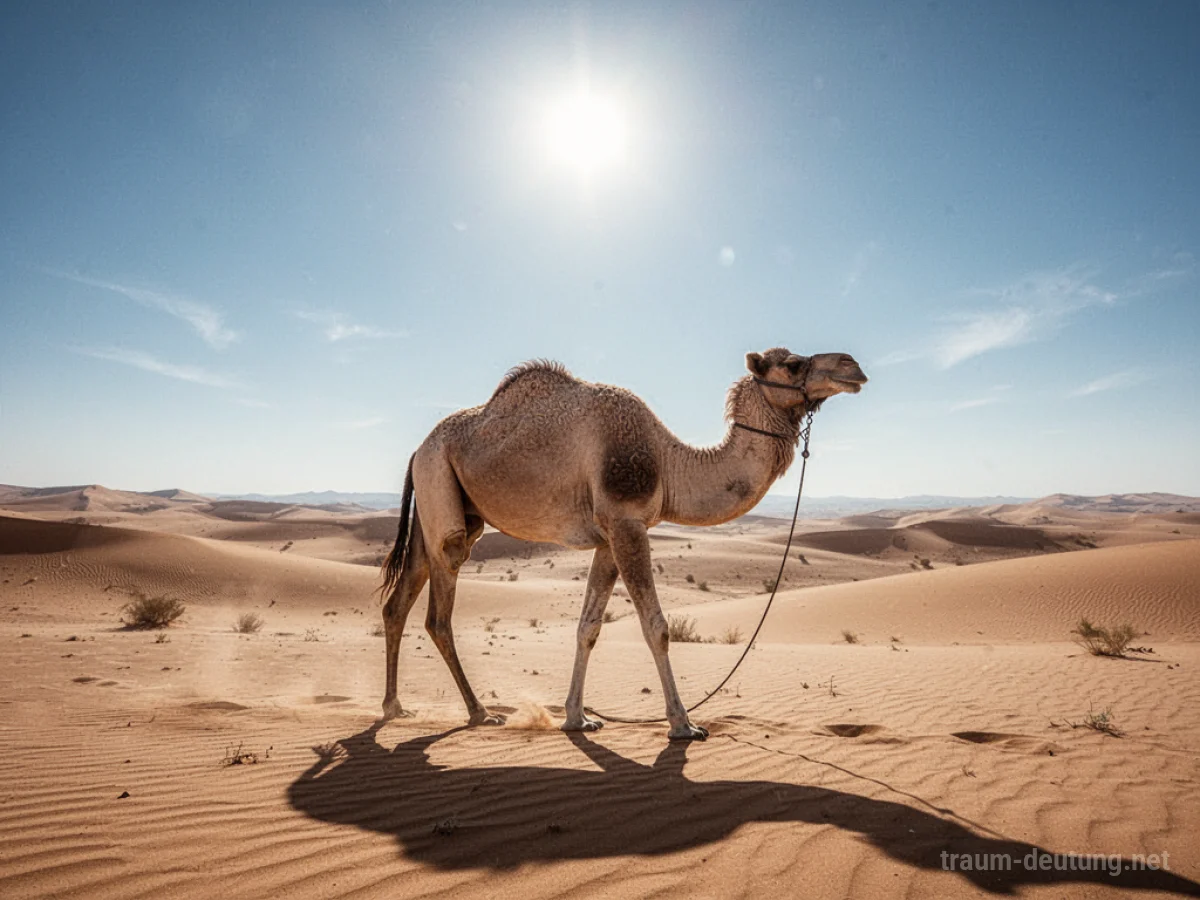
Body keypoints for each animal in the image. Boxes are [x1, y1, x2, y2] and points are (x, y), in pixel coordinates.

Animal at [379, 347, 867, 741]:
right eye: (794, 364)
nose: (852, 365)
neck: (670, 463)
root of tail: (418, 449)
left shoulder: (608, 537)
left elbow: (588, 627)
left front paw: (577, 719)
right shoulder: (627, 522)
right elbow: (657, 628)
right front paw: (683, 724)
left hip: (441, 504)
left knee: (399, 601)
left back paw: (394, 707)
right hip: (441, 491)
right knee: (440, 611)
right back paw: (479, 712)